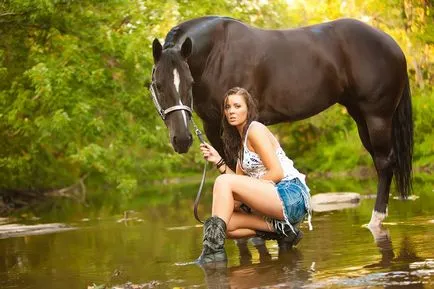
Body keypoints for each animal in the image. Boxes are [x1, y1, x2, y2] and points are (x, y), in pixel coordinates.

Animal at [150, 16, 414, 232]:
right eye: (158, 85)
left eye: (189, 82)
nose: (182, 139)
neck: (218, 53)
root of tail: (393, 45)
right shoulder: (215, 127)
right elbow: (230, 171)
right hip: (360, 116)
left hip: (377, 116)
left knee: (384, 162)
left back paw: (375, 220)